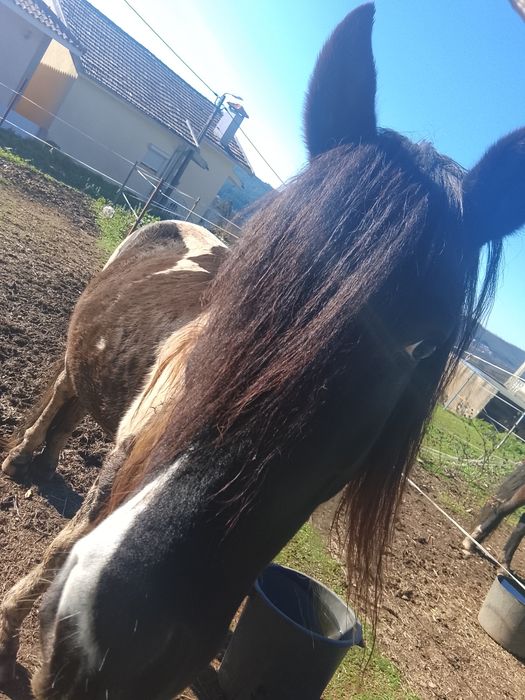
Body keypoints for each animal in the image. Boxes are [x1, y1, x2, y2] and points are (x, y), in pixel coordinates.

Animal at [0, 4, 524, 699]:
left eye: (424, 345)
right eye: (252, 272)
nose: (126, 645)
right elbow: (55, 555)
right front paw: (6, 642)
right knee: (64, 388)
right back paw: (23, 458)